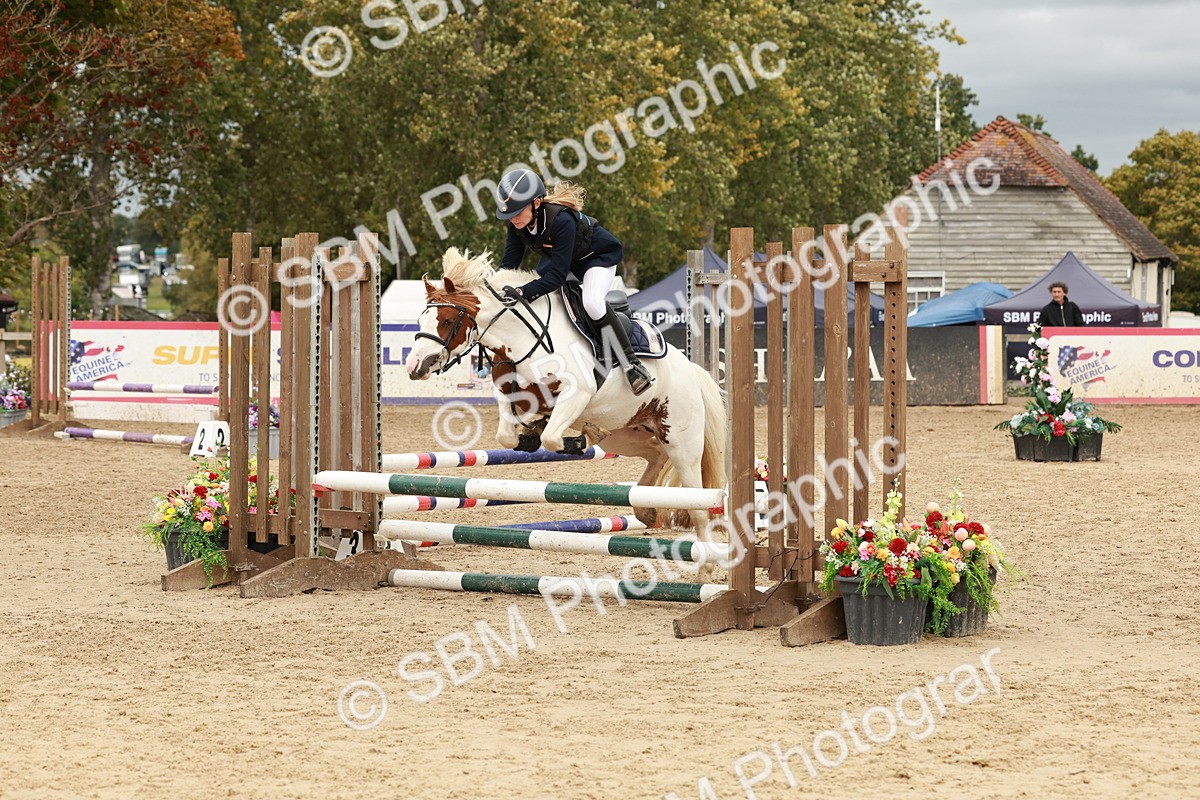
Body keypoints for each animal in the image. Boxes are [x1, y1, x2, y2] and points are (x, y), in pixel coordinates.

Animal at [405, 248, 727, 531]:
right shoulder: (512, 394)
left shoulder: (577, 394)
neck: (521, 339)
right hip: (626, 433)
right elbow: (508, 435)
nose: (415, 366)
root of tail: (691, 369)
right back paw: (645, 508)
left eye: (447, 321)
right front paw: (529, 436)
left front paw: (572, 442)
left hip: (682, 443)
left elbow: (550, 438)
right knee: (655, 453)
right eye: (419, 319)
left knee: (697, 503)